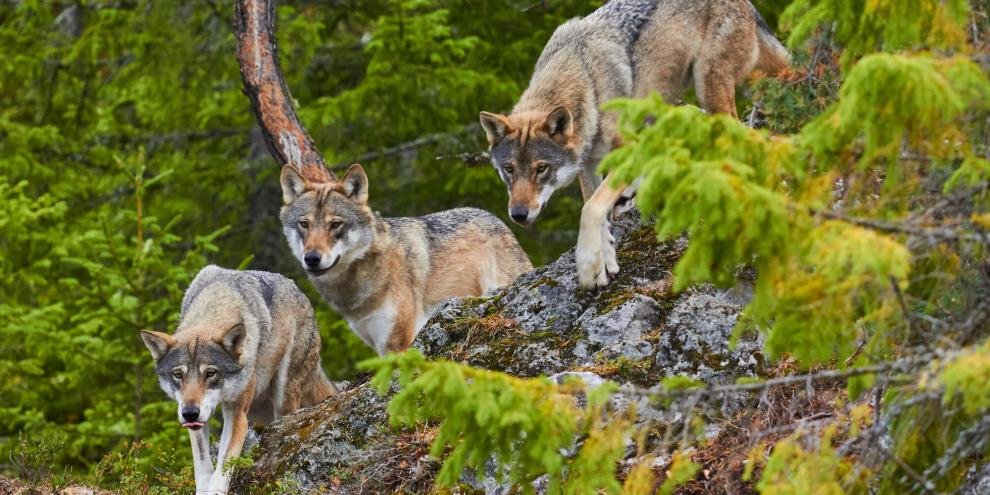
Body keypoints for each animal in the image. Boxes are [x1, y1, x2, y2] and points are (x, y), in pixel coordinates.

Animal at [141, 265, 336, 494]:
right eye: (178, 375)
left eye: (210, 373)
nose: (189, 413)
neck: (217, 303)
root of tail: (302, 294)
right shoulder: (199, 423)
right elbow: (203, 466)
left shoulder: (237, 413)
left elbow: (224, 463)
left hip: (283, 400)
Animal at [476, 0, 789, 286]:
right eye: (509, 169)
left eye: (541, 168)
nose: (518, 215)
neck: (586, 80)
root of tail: (748, 5)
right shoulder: (588, 164)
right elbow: (595, 208)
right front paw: (604, 263)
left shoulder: (621, 151)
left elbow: (589, 210)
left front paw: (587, 265)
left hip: (707, 89)